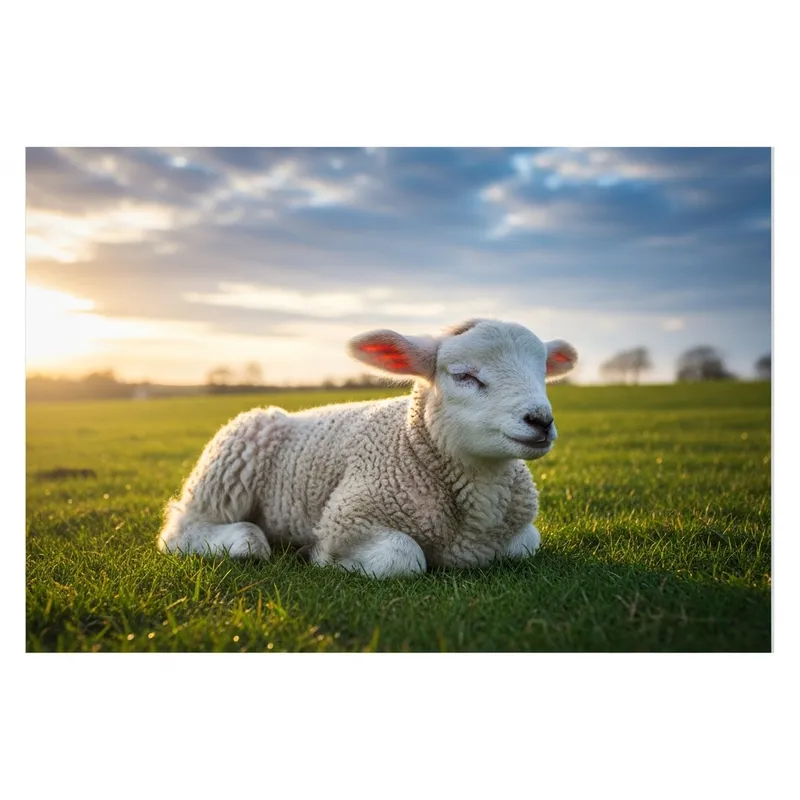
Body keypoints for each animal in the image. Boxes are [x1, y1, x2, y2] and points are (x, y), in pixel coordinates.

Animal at [157, 318, 578, 578]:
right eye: (464, 376)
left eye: (542, 373)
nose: (541, 421)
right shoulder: (346, 517)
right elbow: (403, 557)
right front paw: (321, 558)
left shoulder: (519, 534)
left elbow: (524, 546)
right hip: (227, 470)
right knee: (181, 529)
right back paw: (246, 540)